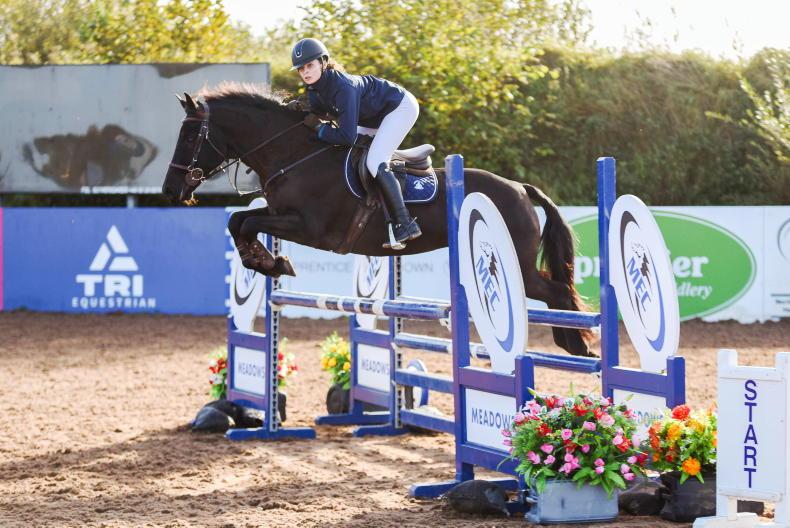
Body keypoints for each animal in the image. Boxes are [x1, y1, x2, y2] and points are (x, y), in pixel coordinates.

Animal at [161, 83, 593, 357]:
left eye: (190, 137)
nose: (169, 190)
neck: (294, 154)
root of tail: (520, 188)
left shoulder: (310, 228)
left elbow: (248, 224)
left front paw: (271, 262)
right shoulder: (281, 214)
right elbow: (238, 221)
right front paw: (266, 261)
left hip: (517, 262)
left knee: (557, 291)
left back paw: (578, 345)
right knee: (555, 291)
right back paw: (570, 343)